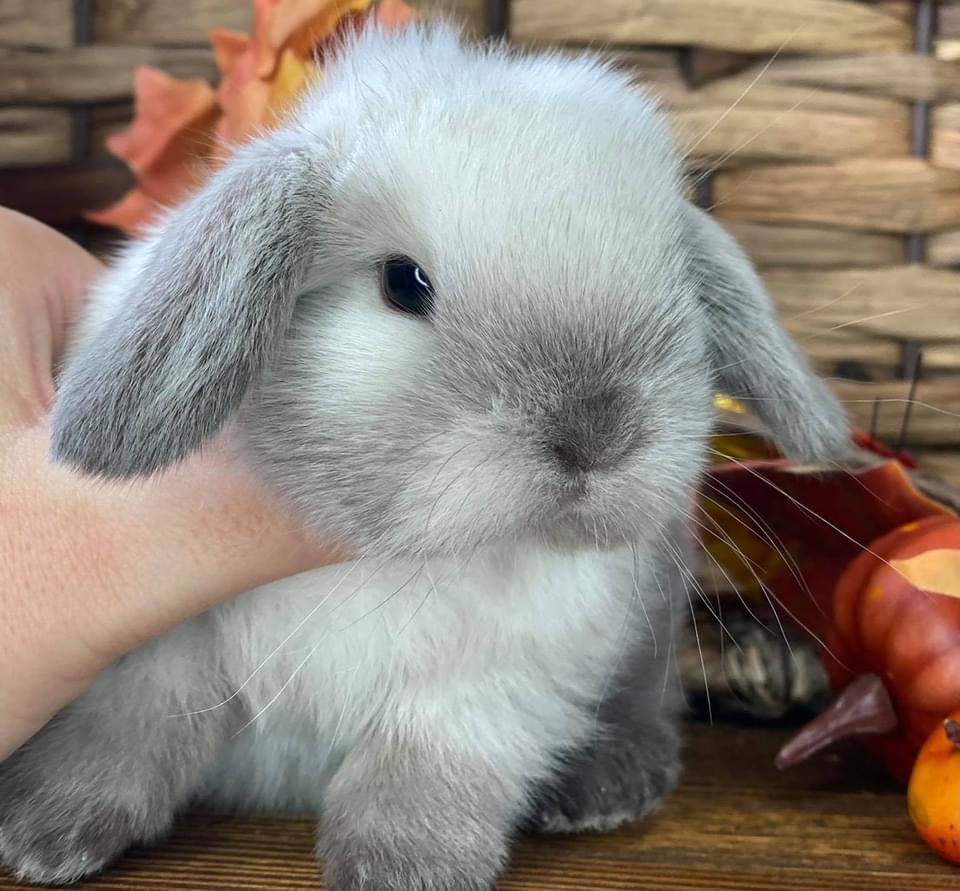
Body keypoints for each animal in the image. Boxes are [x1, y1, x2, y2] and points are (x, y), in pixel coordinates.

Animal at [0, 20, 848, 891]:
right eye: (403, 284)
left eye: (675, 285)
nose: (595, 438)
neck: (402, 561)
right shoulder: (153, 652)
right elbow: (125, 728)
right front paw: (43, 832)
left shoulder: (496, 684)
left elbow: (424, 763)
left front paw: (402, 867)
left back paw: (606, 789)